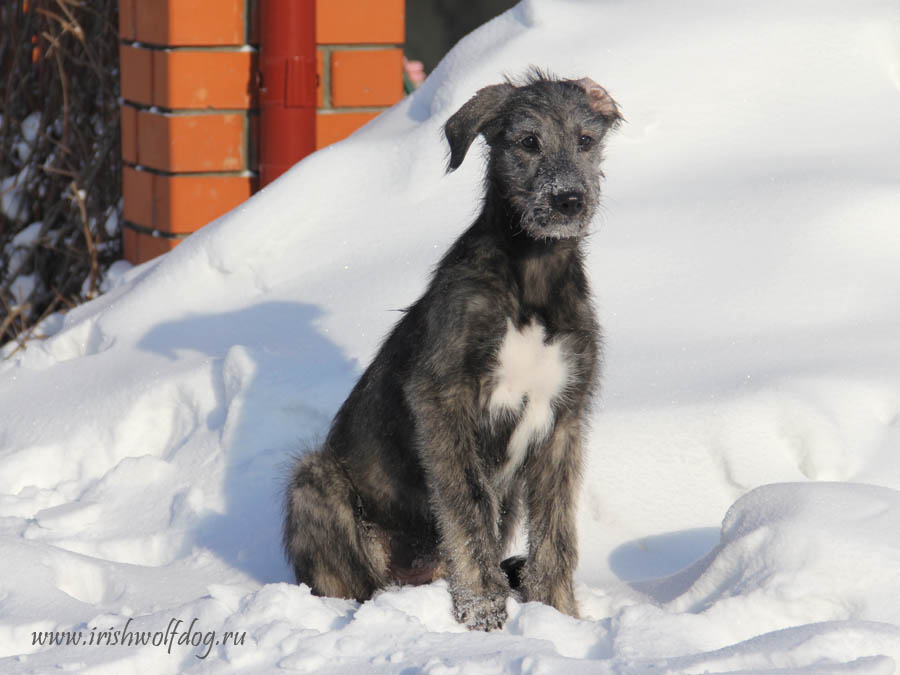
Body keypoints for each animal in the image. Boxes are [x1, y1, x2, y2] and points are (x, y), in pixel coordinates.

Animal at [284, 71, 624, 632]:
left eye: (586, 140)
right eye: (528, 141)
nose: (569, 201)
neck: (531, 277)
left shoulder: (565, 419)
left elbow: (556, 533)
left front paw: (557, 614)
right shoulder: (444, 398)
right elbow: (468, 507)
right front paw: (483, 610)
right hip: (315, 480)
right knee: (353, 584)